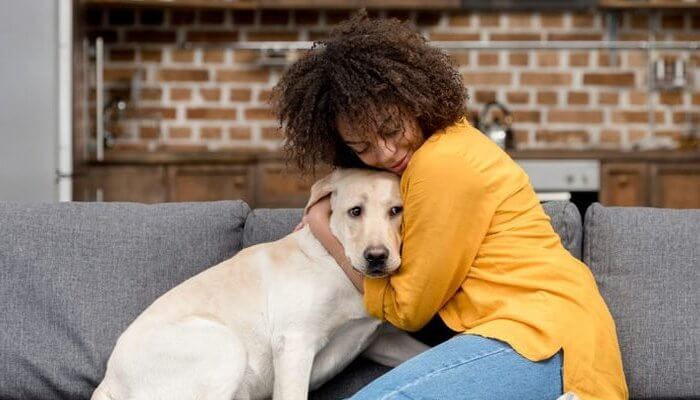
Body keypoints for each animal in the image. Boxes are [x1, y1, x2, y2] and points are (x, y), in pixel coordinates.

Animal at [90, 168, 430, 400]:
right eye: (355, 212)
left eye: (396, 210)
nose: (376, 257)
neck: (337, 262)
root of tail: (108, 382)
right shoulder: (294, 344)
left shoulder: (383, 340)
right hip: (225, 347)